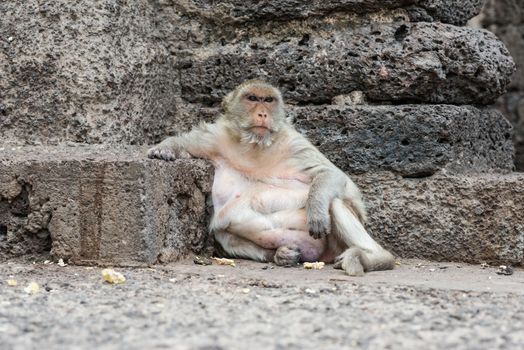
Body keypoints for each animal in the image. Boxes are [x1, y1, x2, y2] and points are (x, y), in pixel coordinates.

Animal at [147, 79, 392, 276]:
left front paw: (316, 212)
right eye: (252, 98)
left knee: (334, 202)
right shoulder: (215, 138)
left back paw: (375, 258)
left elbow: (333, 175)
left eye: (269, 100)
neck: (255, 146)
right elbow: (187, 144)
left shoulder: (293, 142)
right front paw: (163, 150)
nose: (263, 113)